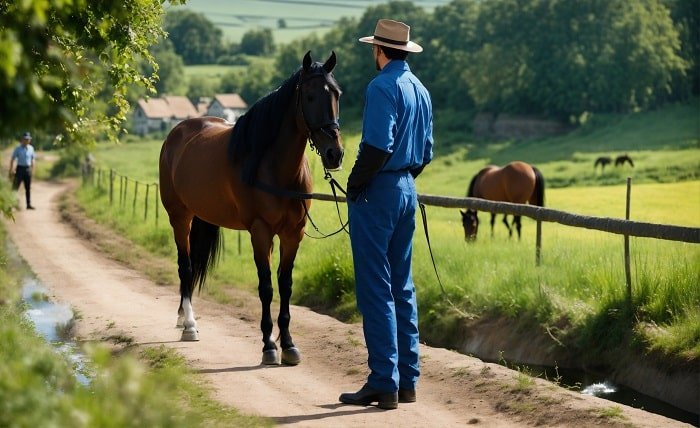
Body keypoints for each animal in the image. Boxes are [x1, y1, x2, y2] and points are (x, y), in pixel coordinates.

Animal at [159, 51, 344, 364]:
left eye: (336, 94)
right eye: (309, 96)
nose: (335, 154)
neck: (274, 168)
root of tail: (177, 133)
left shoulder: (293, 234)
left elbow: (285, 285)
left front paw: (289, 345)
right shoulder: (260, 231)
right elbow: (266, 287)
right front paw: (269, 345)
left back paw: (182, 317)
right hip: (179, 217)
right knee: (185, 267)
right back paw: (189, 325)